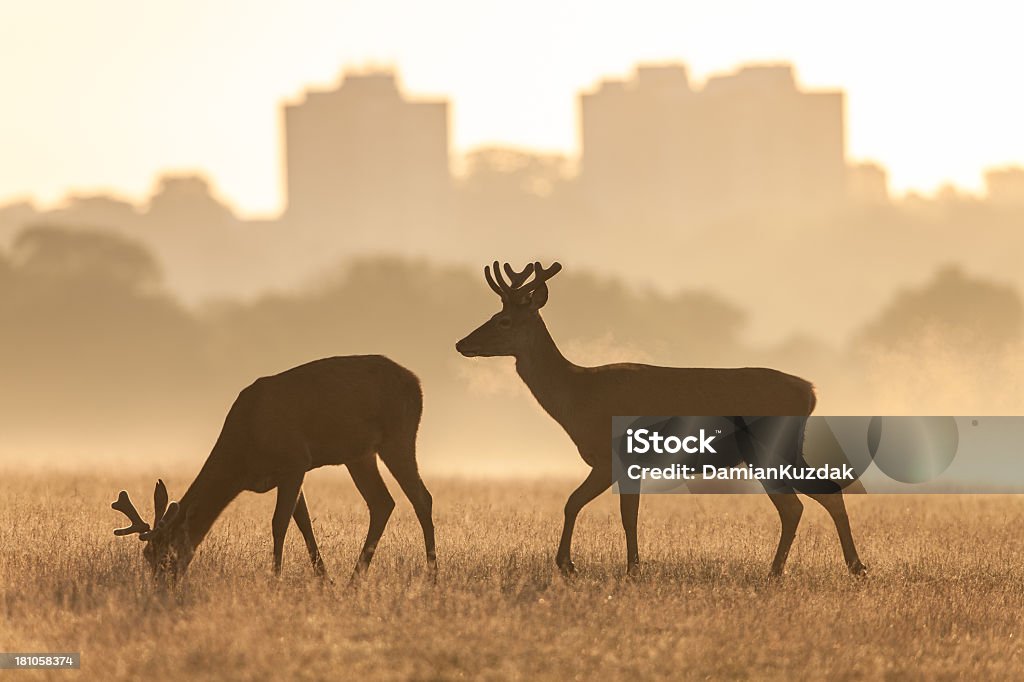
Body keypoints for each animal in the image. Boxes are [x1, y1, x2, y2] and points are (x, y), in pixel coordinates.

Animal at [109, 356, 436, 577]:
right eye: (147, 556)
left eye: (166, 554)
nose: (161, 587)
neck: (244, 452)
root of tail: (417, 382)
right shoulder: (285, 473)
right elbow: (303, 524)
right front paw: (325, 580)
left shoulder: (295, 460)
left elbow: (279, 524)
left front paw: (275, 579)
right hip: (359, 454)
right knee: (382, 502)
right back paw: (353, 580)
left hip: (398, 435)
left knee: (422, 498)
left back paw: (432, 576)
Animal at [456, 262, 864, 577]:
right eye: (493, 316)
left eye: (504, 320)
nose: (461, 343)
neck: (577, 397)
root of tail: (810, 391)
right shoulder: (622, 463)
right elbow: (612, 510)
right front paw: (617, 566)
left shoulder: (614, 456)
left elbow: (587, 506)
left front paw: (582, 565)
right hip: (786, 449)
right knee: (826, 492)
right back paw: (854, 567)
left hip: (766, 448)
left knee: (795, 505)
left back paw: (778, 571)